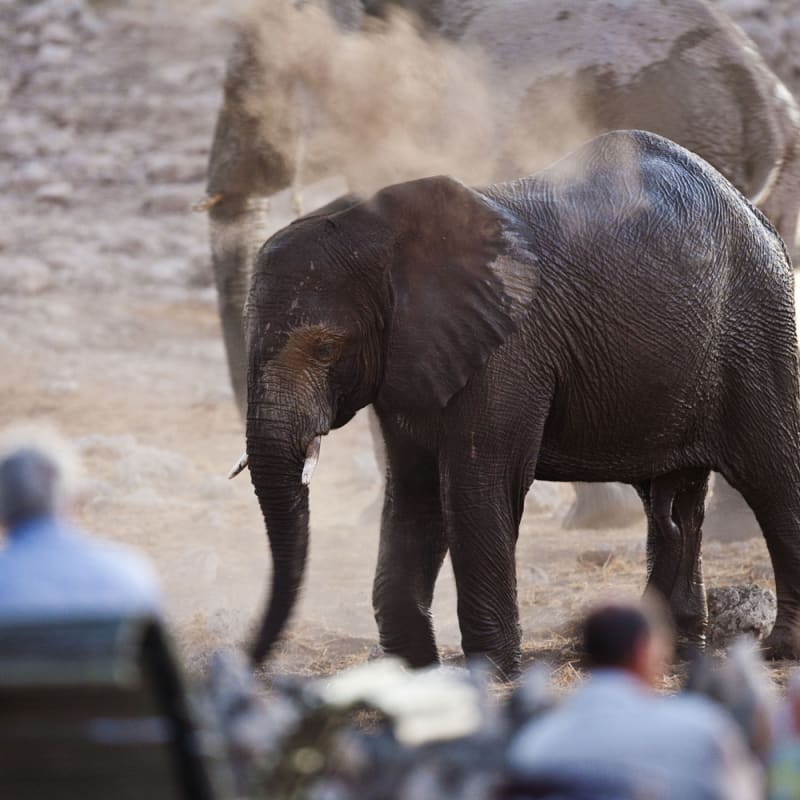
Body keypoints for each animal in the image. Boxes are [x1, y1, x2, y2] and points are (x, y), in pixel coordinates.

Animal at [235, 130, 800, 677]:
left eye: (324, 348)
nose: (250, 659)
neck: (389, 231)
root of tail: (753, 211)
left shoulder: (509, 349)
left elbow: (478, 486)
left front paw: (490, 673)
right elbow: (413, 492)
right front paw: (411, 669)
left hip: (761, 328)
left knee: (774, 478)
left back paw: (778, 649)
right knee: (672, 502)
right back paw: (678, 653)